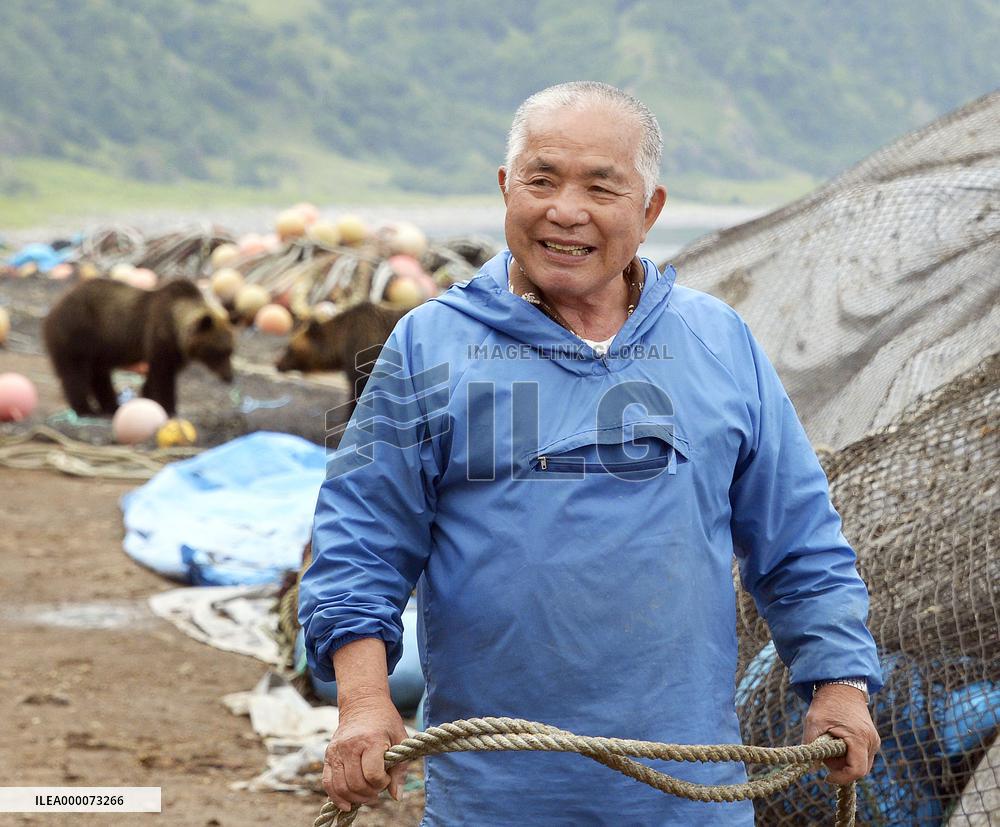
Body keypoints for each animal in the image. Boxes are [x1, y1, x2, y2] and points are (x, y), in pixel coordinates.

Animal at [43, 277, 234, 417]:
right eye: (218, 351)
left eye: (230, 350)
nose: (229, 377)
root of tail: (52, 311)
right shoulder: (159, 336)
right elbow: (162, 375)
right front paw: (169, 408)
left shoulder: (176, 350)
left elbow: (158, 375)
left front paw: (148, 398)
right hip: (78, 331)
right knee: (76, 373)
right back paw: (86, 409)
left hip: (98, 347)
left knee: (98, 374)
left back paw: (111, 406)